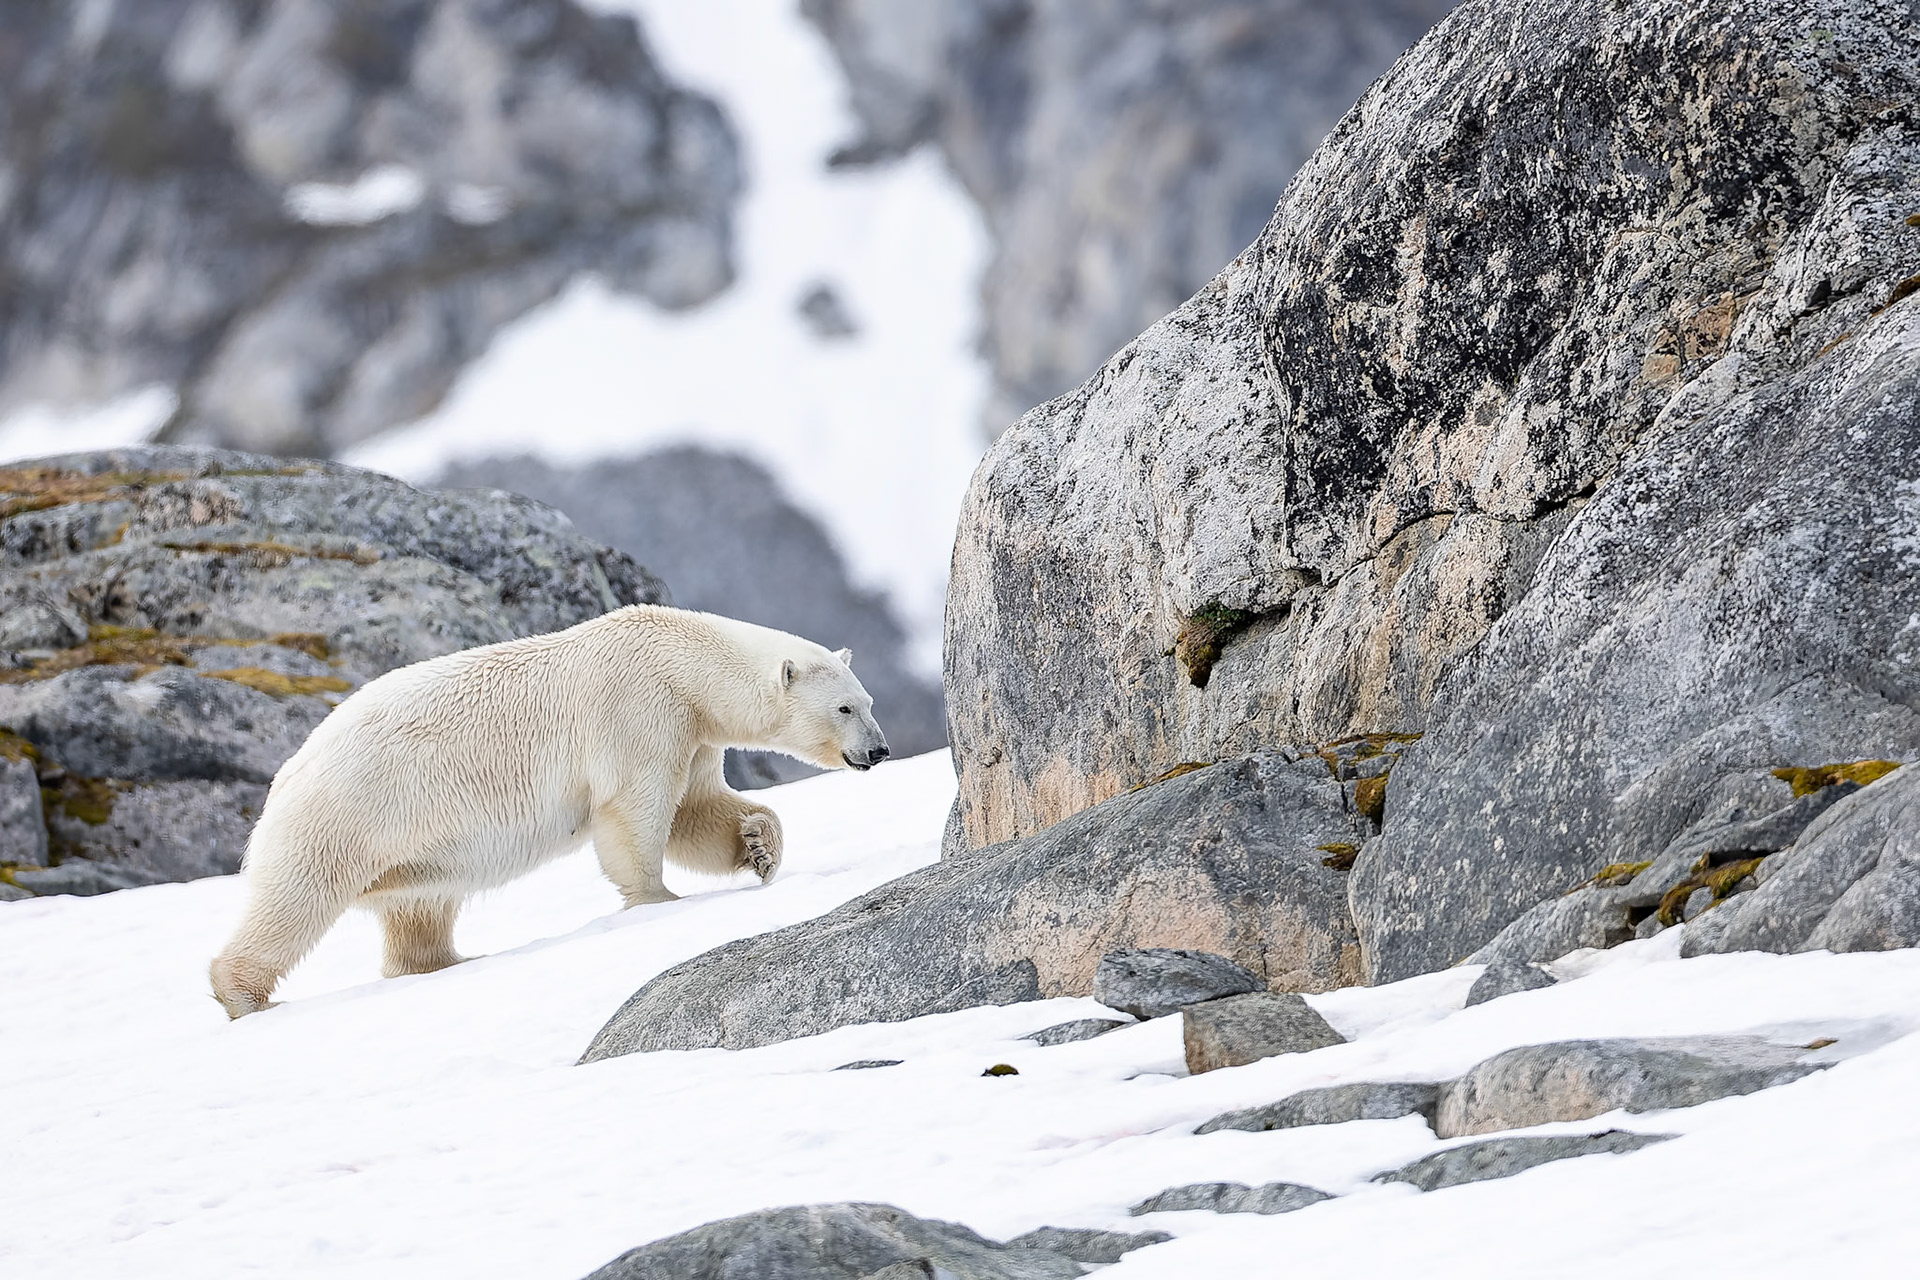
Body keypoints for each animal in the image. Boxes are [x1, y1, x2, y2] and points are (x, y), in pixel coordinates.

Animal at [208, 604, 889, 1018]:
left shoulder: (693, 734)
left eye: (867, 701)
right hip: (349, 814)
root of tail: (288, 773)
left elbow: (695, 813)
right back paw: (245, 995)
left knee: (419, 910)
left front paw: (759, 845)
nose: (879, 750)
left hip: (409, 848)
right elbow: (636, 814)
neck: (682, 660)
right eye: (845, 708)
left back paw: (449, 960)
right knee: (296, 898)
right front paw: (658, 901)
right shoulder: (640, 710)